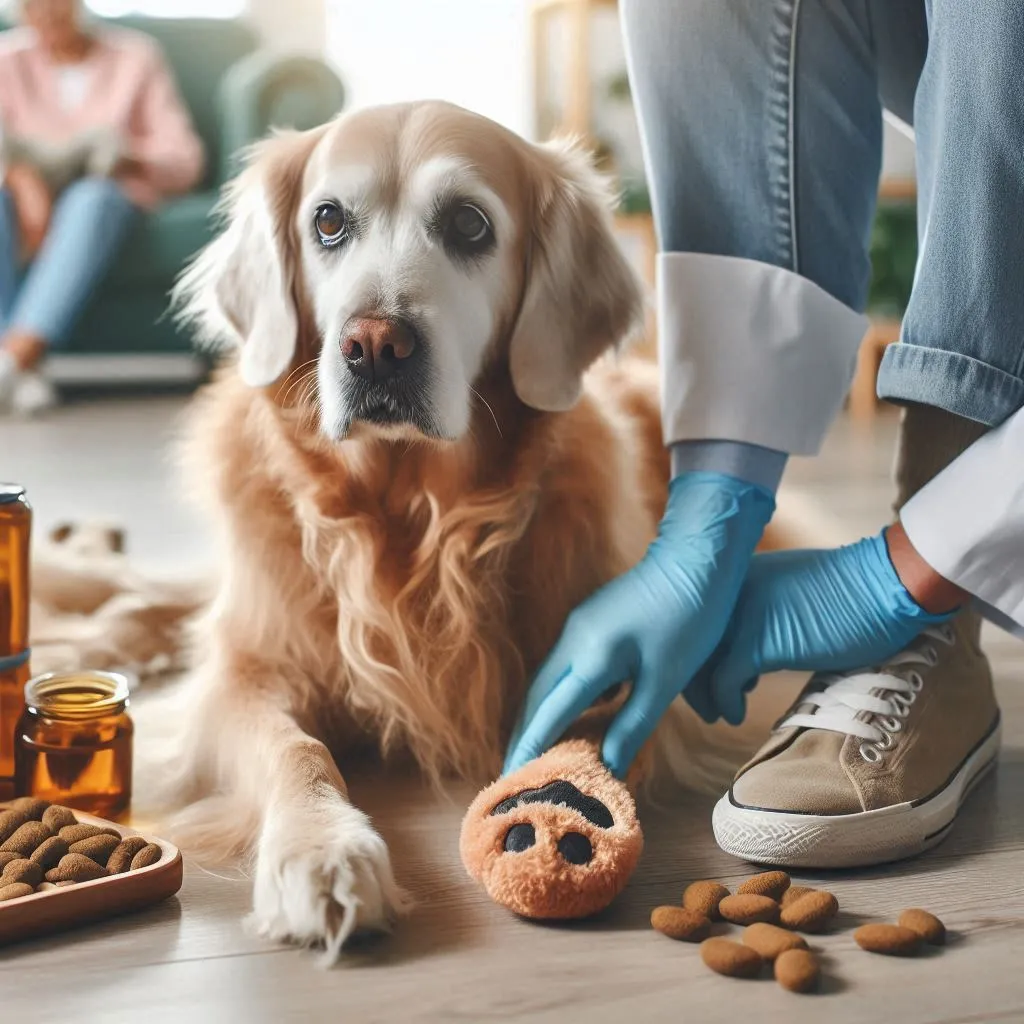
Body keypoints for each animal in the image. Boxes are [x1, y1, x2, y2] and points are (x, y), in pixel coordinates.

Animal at [138, 99, 745, 962]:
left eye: (468, 224)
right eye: (328, 221)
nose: (374, 346)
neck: (407, 516)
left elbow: (586, 729)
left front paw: (557, 808)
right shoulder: (242, 673)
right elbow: (295, 747)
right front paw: (322, 851)